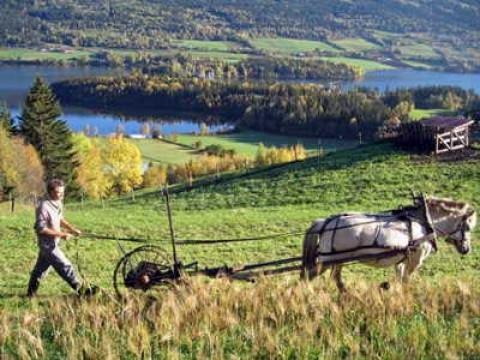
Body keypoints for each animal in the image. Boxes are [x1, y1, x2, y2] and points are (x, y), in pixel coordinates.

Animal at [302, 195, 474, 292]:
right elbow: (406, 280)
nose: (466, 249)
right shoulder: (415, 259)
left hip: (337, 261)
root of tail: (326, 222)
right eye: (467, 227)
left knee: (335, 279)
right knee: (308, 277)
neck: (423, 222)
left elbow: (400, 278)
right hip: (328, 261)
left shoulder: (402, 260)